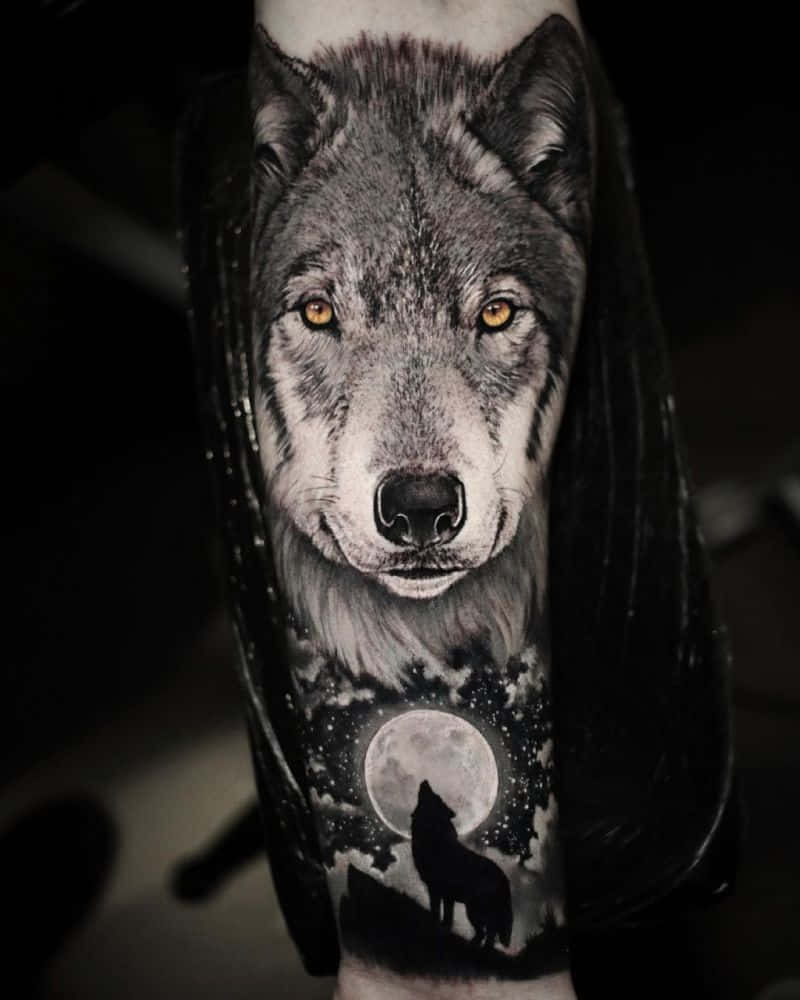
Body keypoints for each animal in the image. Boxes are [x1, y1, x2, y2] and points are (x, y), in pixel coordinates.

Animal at [411, 780, 512, 948]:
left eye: (436, 796)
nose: (425, 781)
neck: (433, 831)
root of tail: (505, 880)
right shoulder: (444, 894)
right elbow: (444, 917)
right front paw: (441, 931)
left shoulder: (438, 890)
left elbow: (437, 914)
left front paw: (434, 931)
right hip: (474, 911)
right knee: (485, 934)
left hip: (475, 911)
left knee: (488, 934)